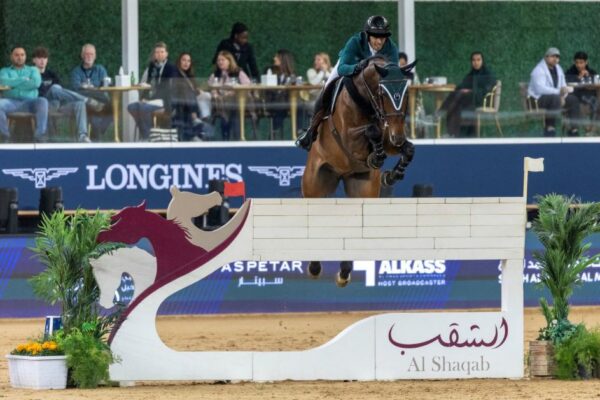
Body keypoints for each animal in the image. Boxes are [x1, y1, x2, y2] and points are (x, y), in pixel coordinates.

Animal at [302, 57, 414, 288]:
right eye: (383, 93)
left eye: (406, 93)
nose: (398, 136)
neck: (367, 101)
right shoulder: (347, 137)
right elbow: (372, 131)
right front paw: (376, 157)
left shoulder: (390, 136)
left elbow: (406, 149)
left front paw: (391, 174)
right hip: (315, 186)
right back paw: (315, 268)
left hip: (362, 188)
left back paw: (344, 272)